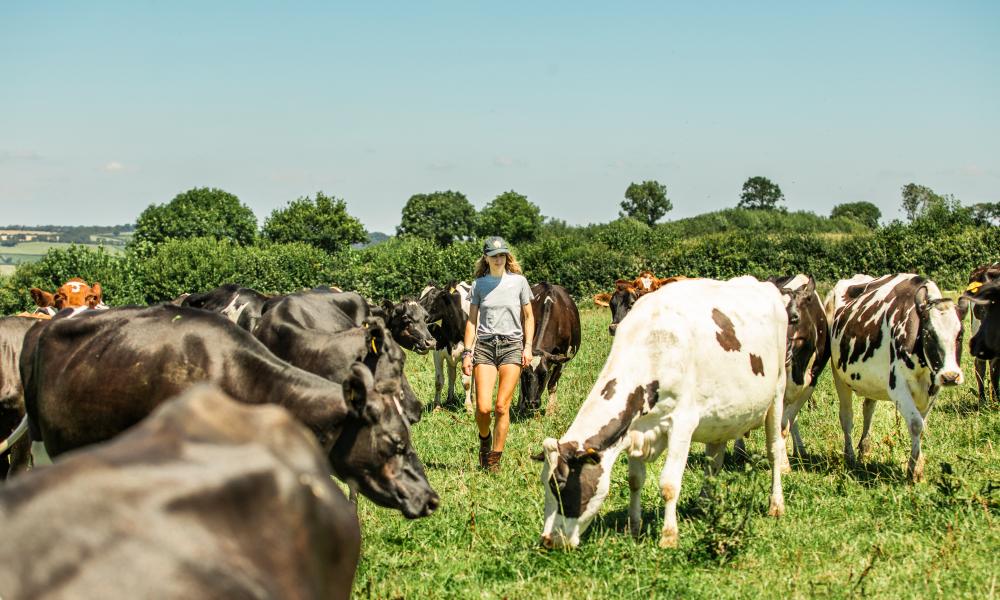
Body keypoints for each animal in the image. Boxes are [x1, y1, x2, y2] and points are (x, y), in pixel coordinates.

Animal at [418, 282, 472, 412]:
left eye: (433, 296)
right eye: (420, 295)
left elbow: (467, 381)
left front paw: (468, 407)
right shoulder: (438, 352)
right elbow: (439, 381)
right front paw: (437, 407)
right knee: (452, 374)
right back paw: (450, 399)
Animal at [520, 282, 584, 414]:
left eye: (544, 373)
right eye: (525, 373)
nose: (532, 403)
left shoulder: (564, 356)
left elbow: (552, 384)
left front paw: (550, 412)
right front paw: (522, 408)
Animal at [540, 276, 788, 548]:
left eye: (561, 485)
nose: (547, 540)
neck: (651, 348)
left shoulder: (682, 423)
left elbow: (669, 484)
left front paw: (669, 537)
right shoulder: (634, 429)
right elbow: (635, 480)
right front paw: (633, 527)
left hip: (777, 393)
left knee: (774, 450)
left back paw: (776, 504)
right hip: (721, 415)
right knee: (714, 460)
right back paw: (704, 504)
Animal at [824, 274, 964, 480]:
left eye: (960, 335)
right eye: (929, 334)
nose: (951, 376)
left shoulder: (933, 388)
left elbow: (922, 426)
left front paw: (916, 465)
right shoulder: (898, 388)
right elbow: (916, 424)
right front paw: (914, 471)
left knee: (868, 409)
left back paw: (864, 448)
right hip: (839, 375)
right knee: (847, 416)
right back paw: (850, 457)